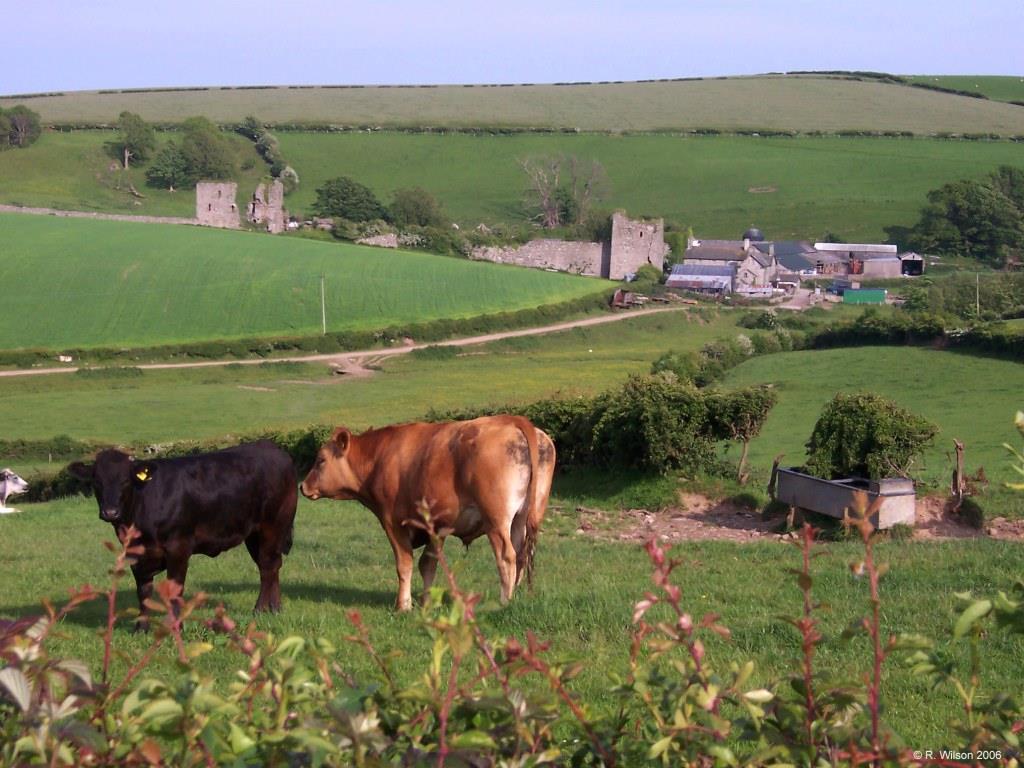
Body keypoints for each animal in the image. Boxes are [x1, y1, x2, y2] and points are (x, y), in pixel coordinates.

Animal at [69, 438, 296, 626]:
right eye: (97, 482)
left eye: (125, 481)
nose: (110, 512)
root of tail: (273, 449)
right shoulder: (136, 554)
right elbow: (143, 592)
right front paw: (141, 627)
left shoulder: (178, 548)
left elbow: (175, 589)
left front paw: (174, 626)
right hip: (253, 534)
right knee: (271, 565)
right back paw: (274, 608)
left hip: (273, 525)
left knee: (267, 566)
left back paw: (261, 608)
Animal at [299, 417, 557, 610]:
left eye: (321, 460)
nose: (303, 486)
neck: (381, 456)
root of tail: (512, 420)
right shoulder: (437, 526)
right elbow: (428, 564)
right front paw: (426, 602)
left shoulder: (393, 522)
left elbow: (404, 564)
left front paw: (403, 605)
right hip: (520, 519)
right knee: (521, 554)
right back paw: (517, 596)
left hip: (496, 520)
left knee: (506, 556)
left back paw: (505, 601)